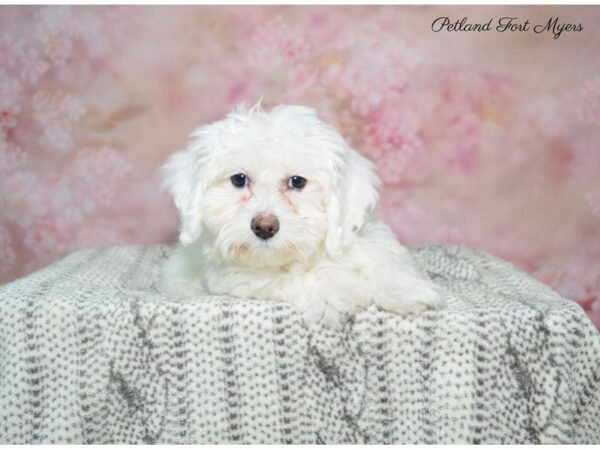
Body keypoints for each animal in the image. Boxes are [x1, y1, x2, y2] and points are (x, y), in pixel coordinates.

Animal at [162, 102, 442, 326]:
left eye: (297, 181)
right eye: (239, 179)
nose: (264, 226)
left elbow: (382, 263)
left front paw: (405, 289)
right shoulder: (240, 278)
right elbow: (300, 280)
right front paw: (336, 292)